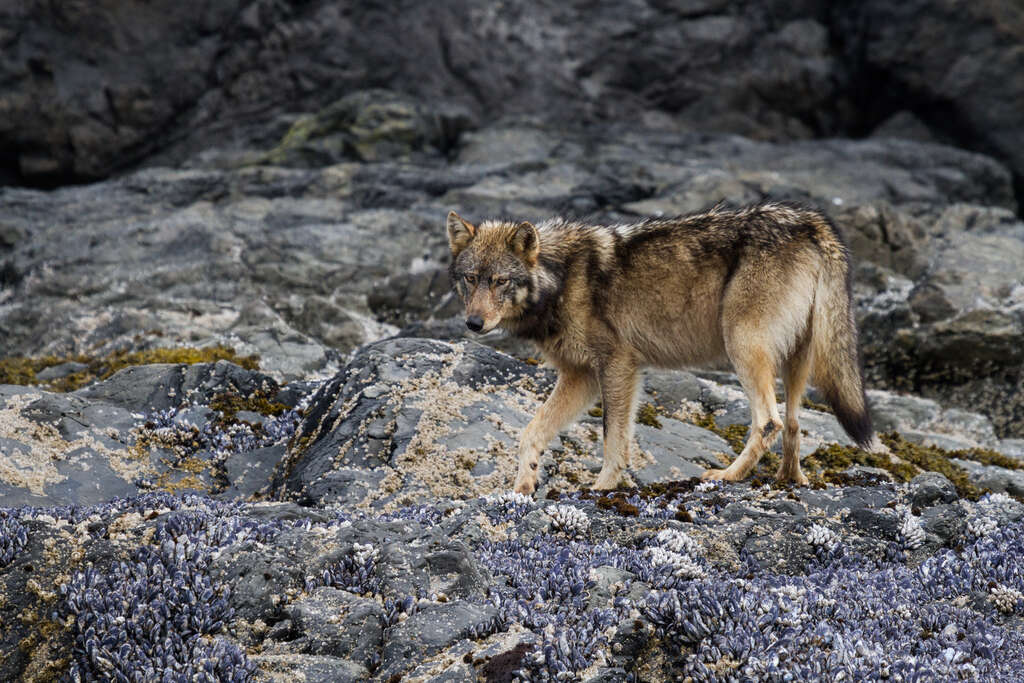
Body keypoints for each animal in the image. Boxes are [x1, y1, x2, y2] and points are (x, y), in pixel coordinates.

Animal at [444, 200, 884, 493]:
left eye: (500, 281)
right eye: (471, 279)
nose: (473, 323)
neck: (562, 278)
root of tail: (811, 221)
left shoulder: (617, 366)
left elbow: (613, 439)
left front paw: (602, 488)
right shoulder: (580, 376)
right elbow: (531, 433)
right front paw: (523, 487)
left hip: (744, 348)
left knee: (769, 422)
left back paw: (728, 476)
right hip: (796, 362)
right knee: (793, 423)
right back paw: (789, 480)